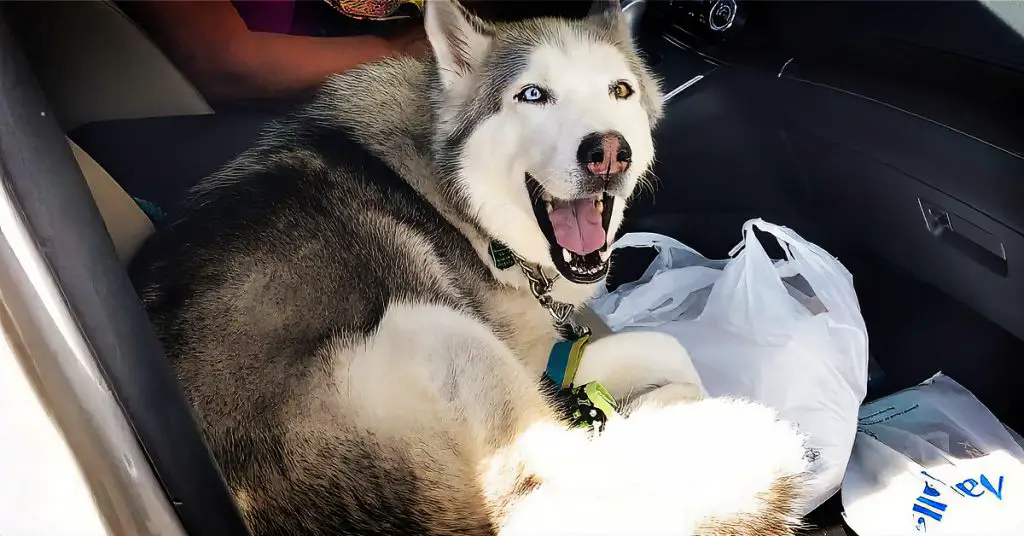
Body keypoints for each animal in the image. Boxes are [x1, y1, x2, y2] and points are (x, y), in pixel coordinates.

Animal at [130, 2, 806, 532]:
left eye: (620, 90)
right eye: (532, 95)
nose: (608, 152)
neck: (464, 206)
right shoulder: (533, 357)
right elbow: (669, 348)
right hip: (435, 330)